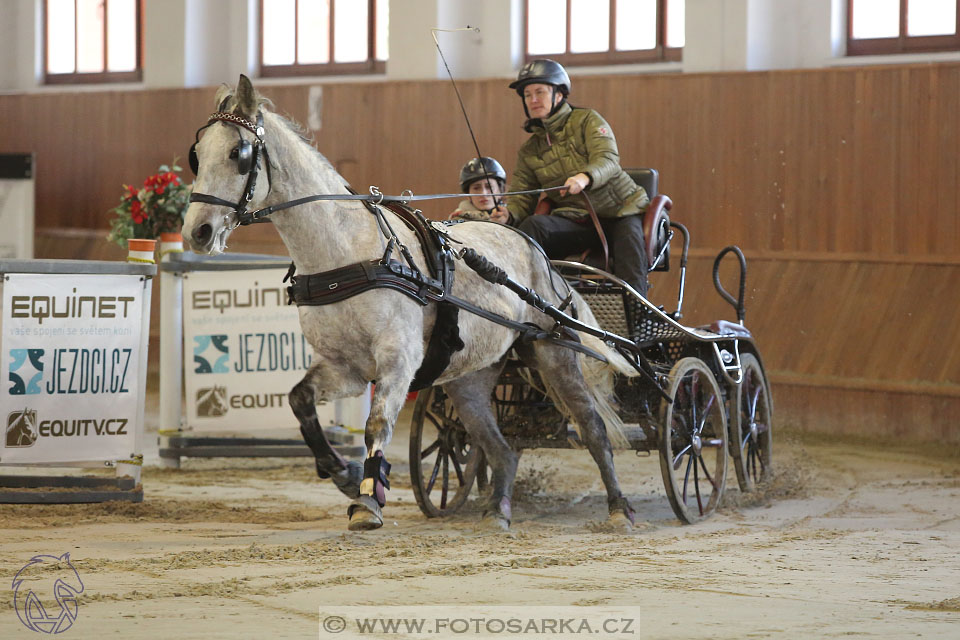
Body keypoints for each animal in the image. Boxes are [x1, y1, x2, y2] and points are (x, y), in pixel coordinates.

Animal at [184, 77, 640, 532]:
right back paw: (497, 509)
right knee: (500, 447)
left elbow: (377, 425)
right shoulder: (345, 367)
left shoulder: (398, 359)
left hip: (553, 352)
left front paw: (368, 499)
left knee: (593, 429)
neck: (346, 254)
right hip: (470, 377)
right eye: (197, 154)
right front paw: (345, 475)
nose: (197, 232)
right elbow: (300, 401)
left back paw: (619, 507)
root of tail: (539, 252)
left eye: (238, 153)